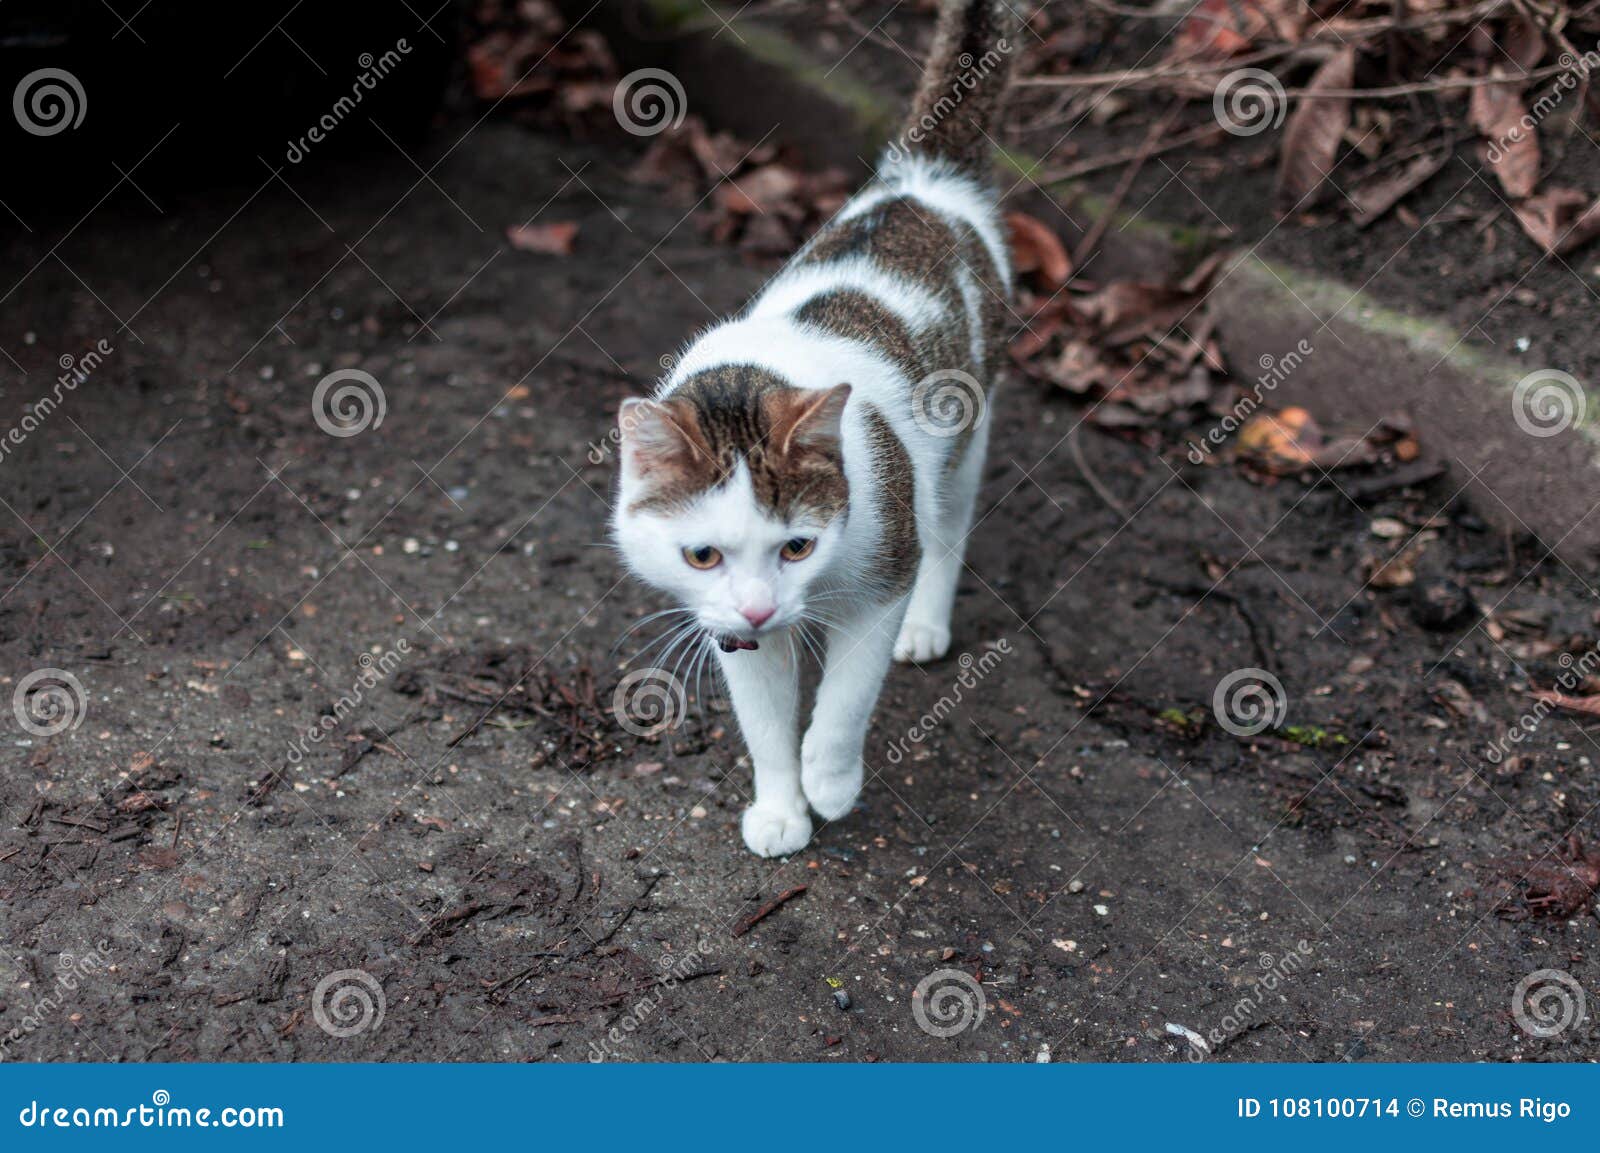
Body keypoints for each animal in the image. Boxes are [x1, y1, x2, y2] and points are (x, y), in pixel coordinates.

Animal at [608, 0, 1011, 857]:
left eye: (798, 545)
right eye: (703, 554)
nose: (763, 609)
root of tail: (922, 183)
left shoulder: (883, 566)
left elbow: (847, 697)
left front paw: (829, 778)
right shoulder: (728, 627)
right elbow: (764, 722)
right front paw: (781, 807)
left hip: (965, 435)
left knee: (949, 525)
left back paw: (928, 623)